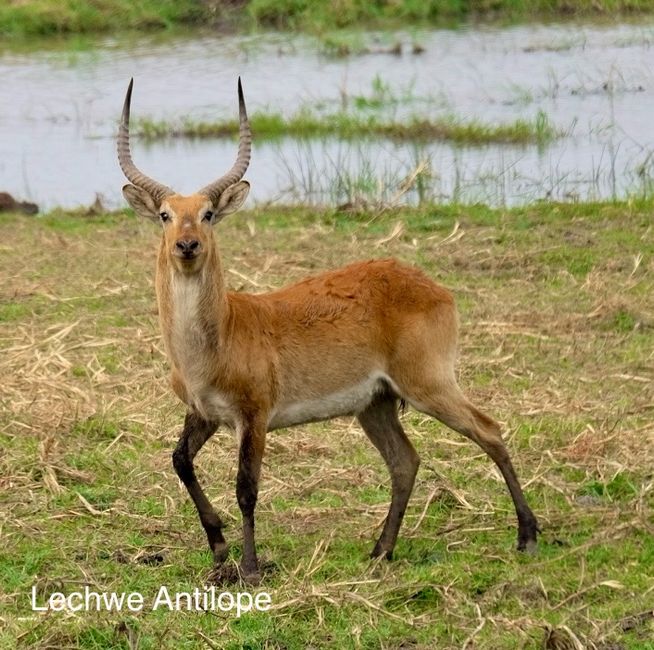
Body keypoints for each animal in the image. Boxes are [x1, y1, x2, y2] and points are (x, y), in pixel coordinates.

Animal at [116, 78, 540, 580]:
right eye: (165, 214)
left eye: (208, 214)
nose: (186, 245)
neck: (216, 339)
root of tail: (431, 285)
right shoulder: (204, 413)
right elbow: (180, 461)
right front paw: (219, 552)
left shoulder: (254, 417)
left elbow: (246, 488)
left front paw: (251, 568)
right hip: (376, 404)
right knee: (406, 461)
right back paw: (381, 551)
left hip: (428, 385)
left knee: (489, 430)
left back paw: (527, 536)